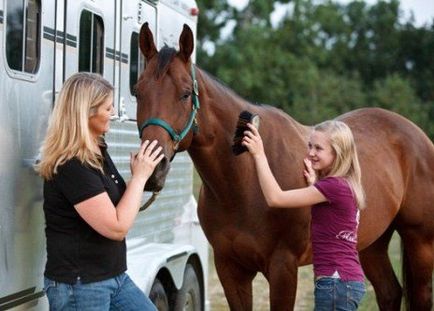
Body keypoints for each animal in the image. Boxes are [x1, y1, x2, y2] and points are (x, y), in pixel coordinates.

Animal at [136, 23, 434, 310]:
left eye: (186, 94)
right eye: (137, 92)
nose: (153, 168)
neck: (243, 183)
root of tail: (417, 134)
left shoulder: (283, 268)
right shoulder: (230, 269)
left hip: (419, 242)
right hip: (370, 243)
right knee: (389, 292)